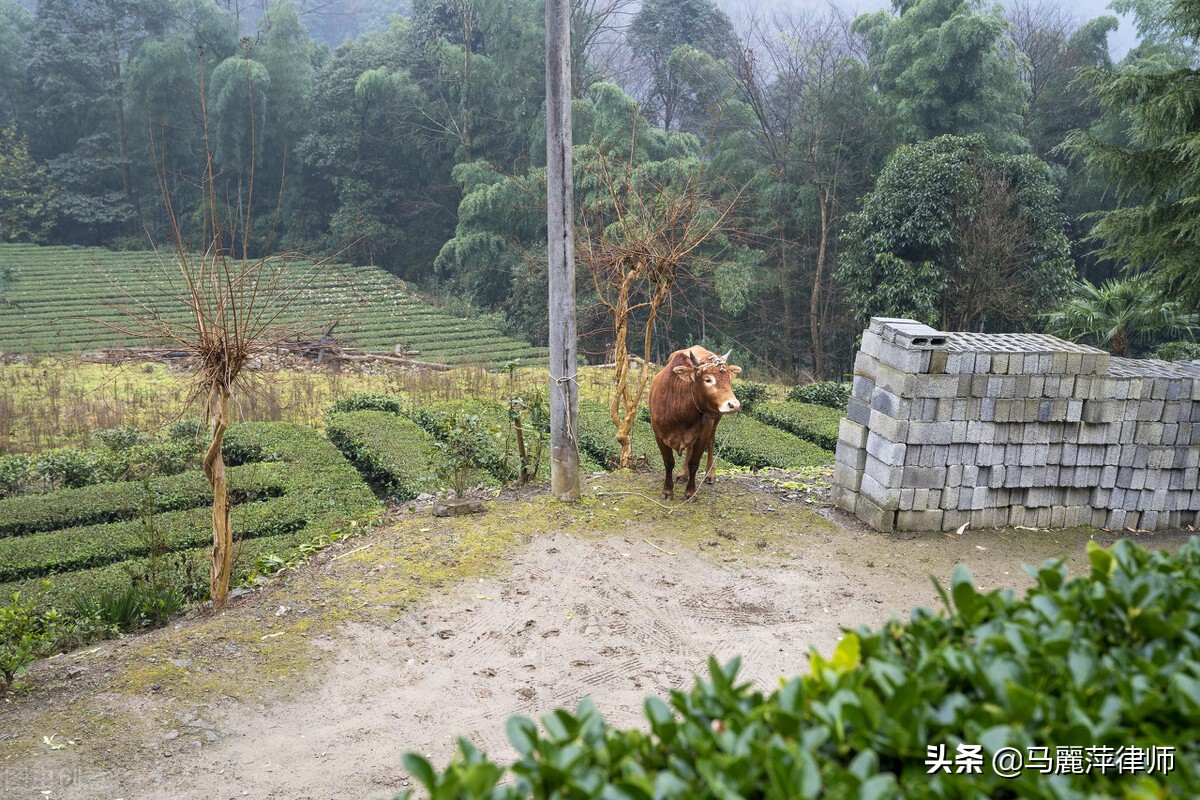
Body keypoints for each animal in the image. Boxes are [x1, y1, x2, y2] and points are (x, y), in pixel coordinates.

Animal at [648, 345, 739, 501]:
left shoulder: (703, 433)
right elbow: (668, 462)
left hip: (715, 420)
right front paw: (667, 491)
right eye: (708, 380)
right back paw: (682, 474)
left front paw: (690, 493)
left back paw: (710, 475)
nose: (734, 405)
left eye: (729, 379)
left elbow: (694, 463)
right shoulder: (658, 434)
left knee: (711, 442)